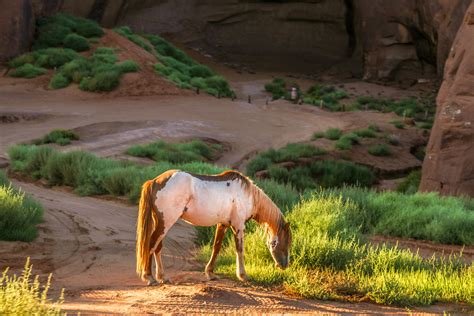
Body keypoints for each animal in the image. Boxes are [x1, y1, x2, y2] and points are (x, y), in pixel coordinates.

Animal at [135, 169, 290, 286]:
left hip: (162, 223)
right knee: (151, 245)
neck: (248, 196)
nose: (284, 265)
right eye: (286, 243)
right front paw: (243, 275)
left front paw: (210, 273)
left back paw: (162, 276)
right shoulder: (238, 226)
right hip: (166, 222)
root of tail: (155, 181)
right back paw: (149, 277)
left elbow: (216, 247)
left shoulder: (223, 225)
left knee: (157, 247)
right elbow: (239, 249)